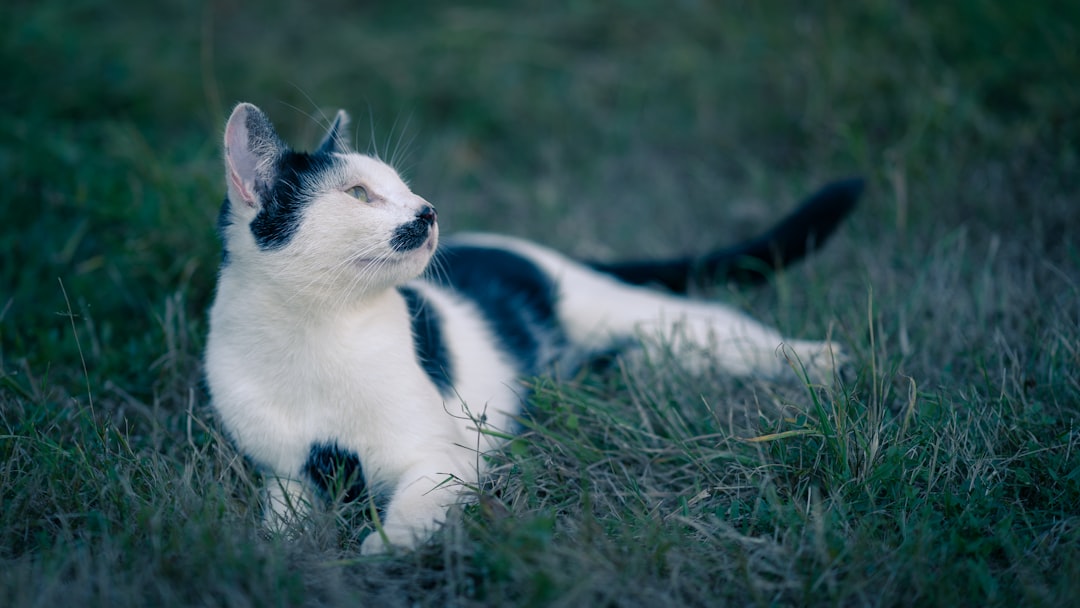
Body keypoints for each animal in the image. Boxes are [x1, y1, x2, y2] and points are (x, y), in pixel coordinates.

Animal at [203, 102, 859, 552]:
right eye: (359, 194)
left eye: (403, 187)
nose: (428, 210)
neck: (316, 336)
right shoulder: (286, 477)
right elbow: (281, 527)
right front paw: (275, 557)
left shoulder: (438, 459)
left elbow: (408, 518)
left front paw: (381, 552)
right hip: (641, 352)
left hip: (643, 318)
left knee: (723, 325)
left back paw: (822, 360)